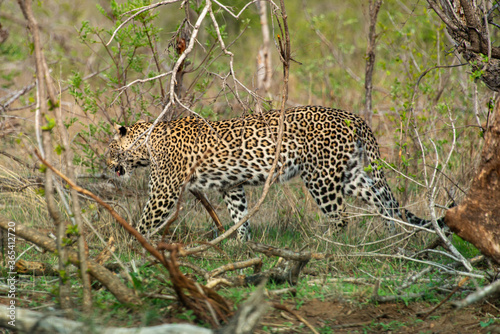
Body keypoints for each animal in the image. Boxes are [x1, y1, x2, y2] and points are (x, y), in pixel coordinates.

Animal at [106, 105, 446, 239]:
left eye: (110, 151)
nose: (107, 166)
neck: (147, 143)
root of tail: (354, 117)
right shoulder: (232, 186)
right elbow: (240, 215)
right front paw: (244, 245)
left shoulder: (163, 191)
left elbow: (145, 221)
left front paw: (132, 243)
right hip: (350, 174)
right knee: (383, 201)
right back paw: (391, 238)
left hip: (320, 177)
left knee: (341, 216)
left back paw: (331, 245)